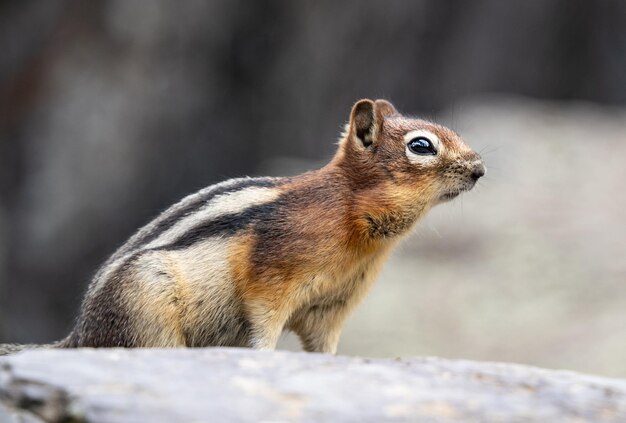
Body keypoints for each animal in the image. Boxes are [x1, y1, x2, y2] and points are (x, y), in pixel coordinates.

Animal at [1, 98, 482, 354]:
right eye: (422, 146)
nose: (480, 169)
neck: (349, 212)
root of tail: (80, 335)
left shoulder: (333, 303)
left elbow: (323, 344)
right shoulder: (273, 277)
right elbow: (262, 323)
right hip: (145, 301)